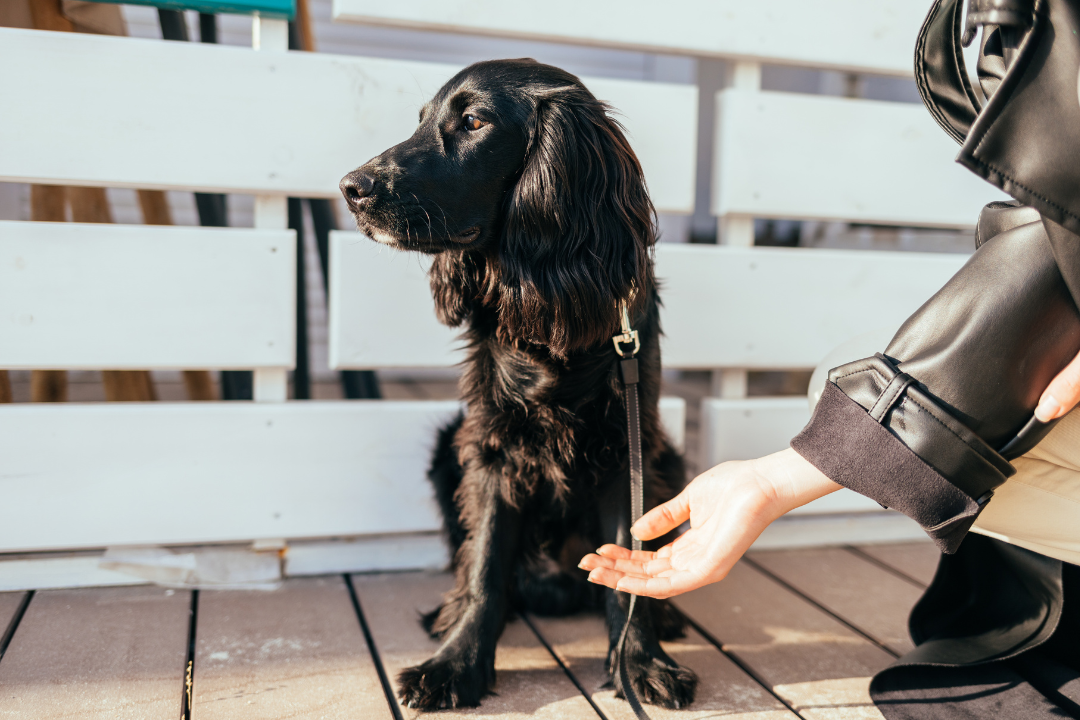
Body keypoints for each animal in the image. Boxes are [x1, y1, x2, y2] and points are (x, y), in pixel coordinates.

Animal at [343, 59, 699, 712]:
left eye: (474, 122)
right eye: (423, 120)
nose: (351, 187)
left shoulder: (625, 449)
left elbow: (628, 567)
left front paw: (640, 661)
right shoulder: (491, 448)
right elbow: (485, 566)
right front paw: (455, 664)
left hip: (668, 455)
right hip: (447, 449)